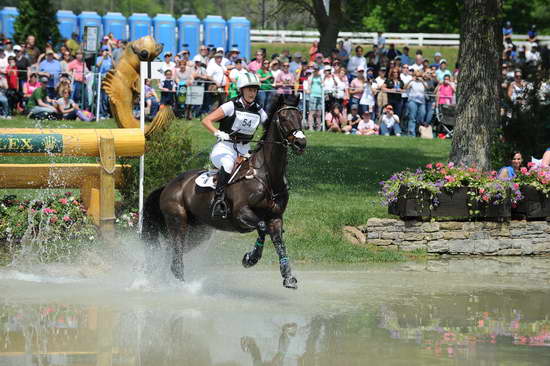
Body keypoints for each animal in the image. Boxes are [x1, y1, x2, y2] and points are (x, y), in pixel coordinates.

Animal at [141, 94, 306, 288]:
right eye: (284, 118)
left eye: (300, 116)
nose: (301, 143)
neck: (267, 176)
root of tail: (168, 186)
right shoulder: (241, 214)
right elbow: (262, 227)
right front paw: (250, 259)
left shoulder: (275, 218)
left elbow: (279, 241)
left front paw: (288, 277)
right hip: (178, 221)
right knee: (176, 254)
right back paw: (182, 284)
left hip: (198, 232)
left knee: (170, 252)